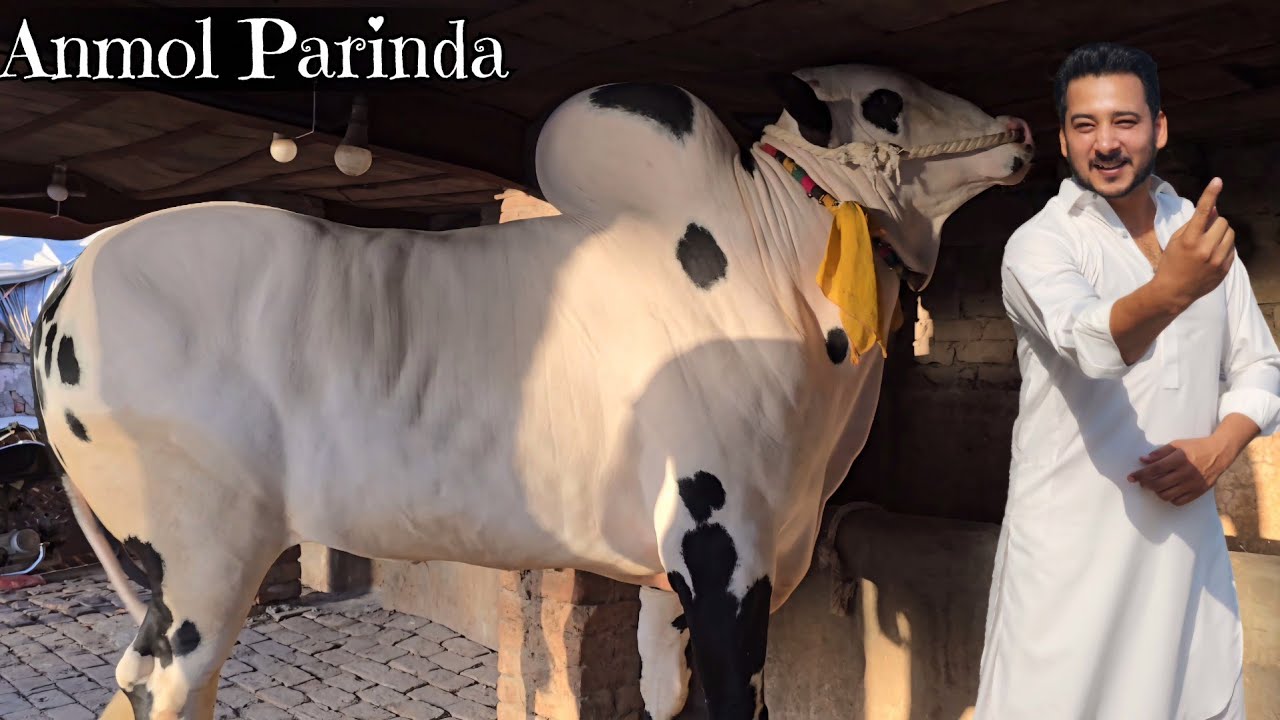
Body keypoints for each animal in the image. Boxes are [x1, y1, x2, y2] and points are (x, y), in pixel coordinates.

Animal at [37, 63, 1033, 720]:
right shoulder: (722, 550)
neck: (769, 264)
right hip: (201, 557)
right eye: (885, 102)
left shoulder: (676, 575)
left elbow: (660, 691)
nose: (1021, 134)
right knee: (169, 686)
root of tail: (73, 272)